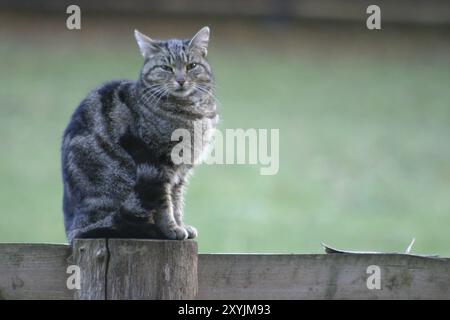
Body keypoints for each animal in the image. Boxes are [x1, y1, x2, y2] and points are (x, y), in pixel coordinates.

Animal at [61, 27, 218, 244]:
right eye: (166, 68)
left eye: (191, 66)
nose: (181, 80)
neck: (192, 110)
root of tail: (73, 230)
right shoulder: (161, 164)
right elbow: (164, 203)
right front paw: (171, 229)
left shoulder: (181, 171)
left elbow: (177, 201)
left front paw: (181, 225)